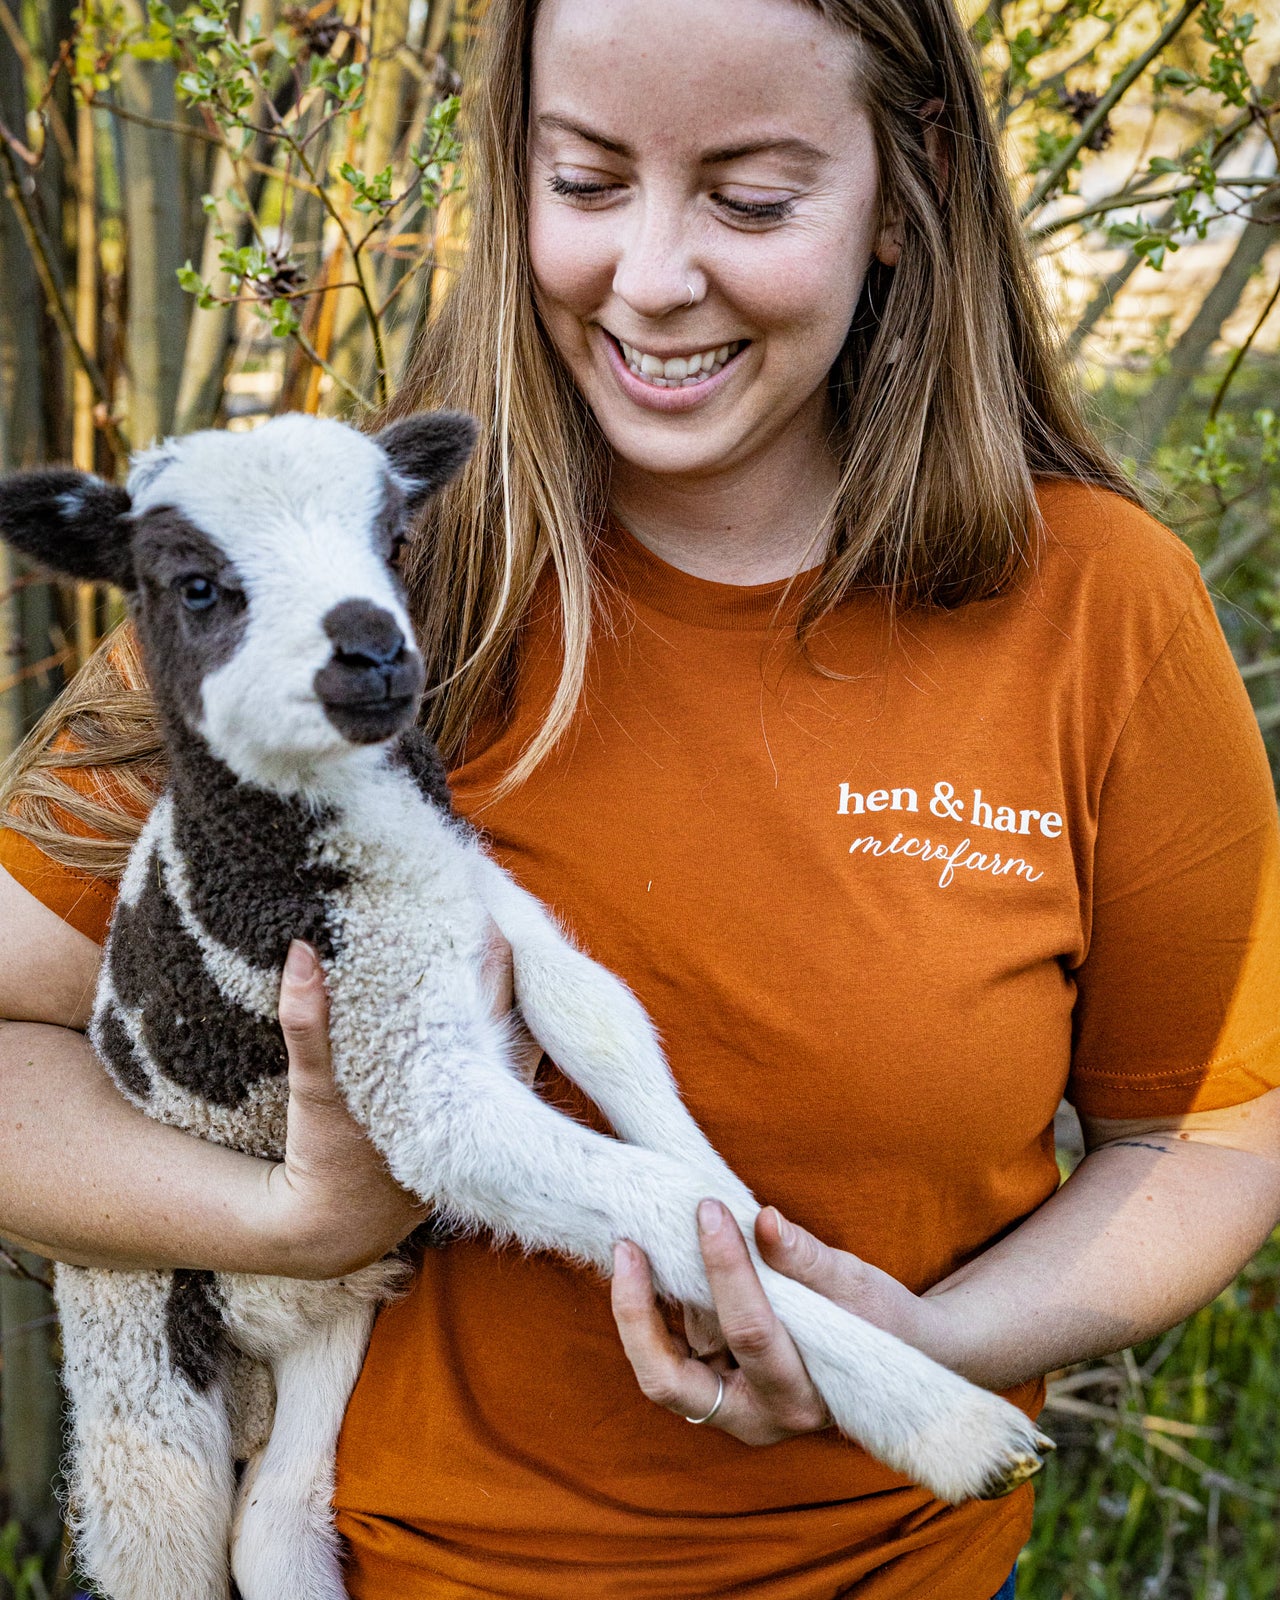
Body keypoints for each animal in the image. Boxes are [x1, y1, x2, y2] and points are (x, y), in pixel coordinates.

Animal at [0, 412, 1049, 1600]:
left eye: (395, 540)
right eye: (195, 585)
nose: (372, 650)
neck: (338, 851)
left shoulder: (487, 907)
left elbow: (604, 1022)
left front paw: (751, 1227)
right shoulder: (401, 1060)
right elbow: (637, 1191)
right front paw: (948, 1423)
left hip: (329, 1319)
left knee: (275, 1527)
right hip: (136, 1353)